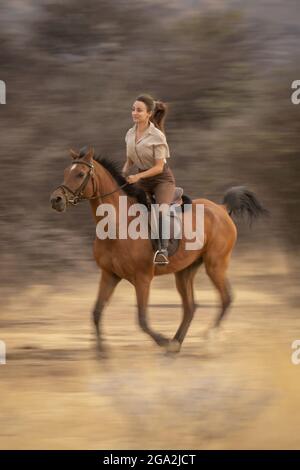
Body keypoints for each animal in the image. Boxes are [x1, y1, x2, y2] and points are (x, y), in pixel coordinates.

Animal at [49, 147, 268, 352]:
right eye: (66, 171)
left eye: (80, 174)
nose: (56, 200)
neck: (118, 224)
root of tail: (221, 209)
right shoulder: (109, 275)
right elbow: (96, 313)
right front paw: (102, 353)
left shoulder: (142, 278)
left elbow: (142, 319)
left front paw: (163, 341)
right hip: (185, 271)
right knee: (190, 307)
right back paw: (176, 344)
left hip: (215, 265)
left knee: (226, 298)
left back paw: (208, 339)